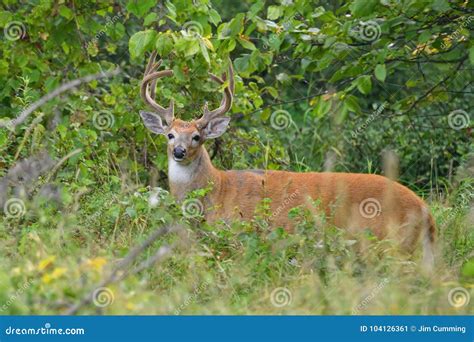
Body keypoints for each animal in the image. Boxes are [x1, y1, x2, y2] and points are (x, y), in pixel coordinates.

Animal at [139, 50, 436, 270]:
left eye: (197, 137)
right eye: (169, 135)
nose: (179, 152)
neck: (217, 189)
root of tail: (426, 213)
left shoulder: (240, 233)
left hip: (378, 240)